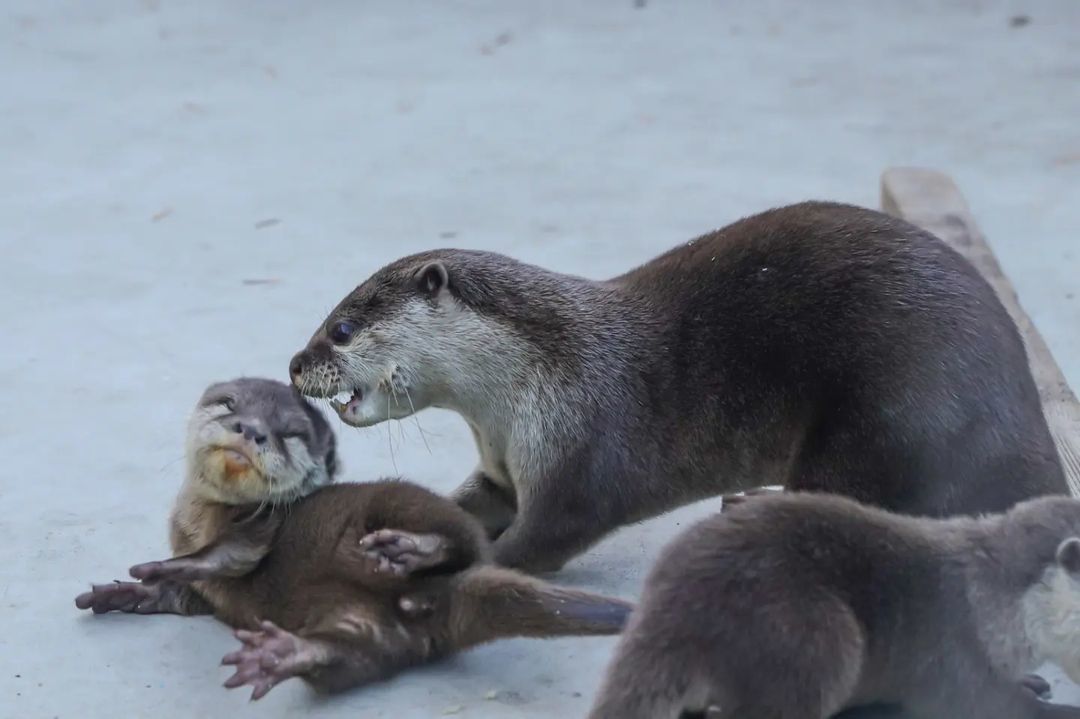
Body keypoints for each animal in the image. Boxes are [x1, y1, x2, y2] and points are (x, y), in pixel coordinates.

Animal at [285, 199, 1062, 570]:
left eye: (342, 328)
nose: (294, 363)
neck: (533, 379)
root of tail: (1021, 410)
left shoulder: (580, 448)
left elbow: (534, 540)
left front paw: (429, 555)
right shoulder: (504, 462)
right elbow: (471, 504)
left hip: (886, 421)